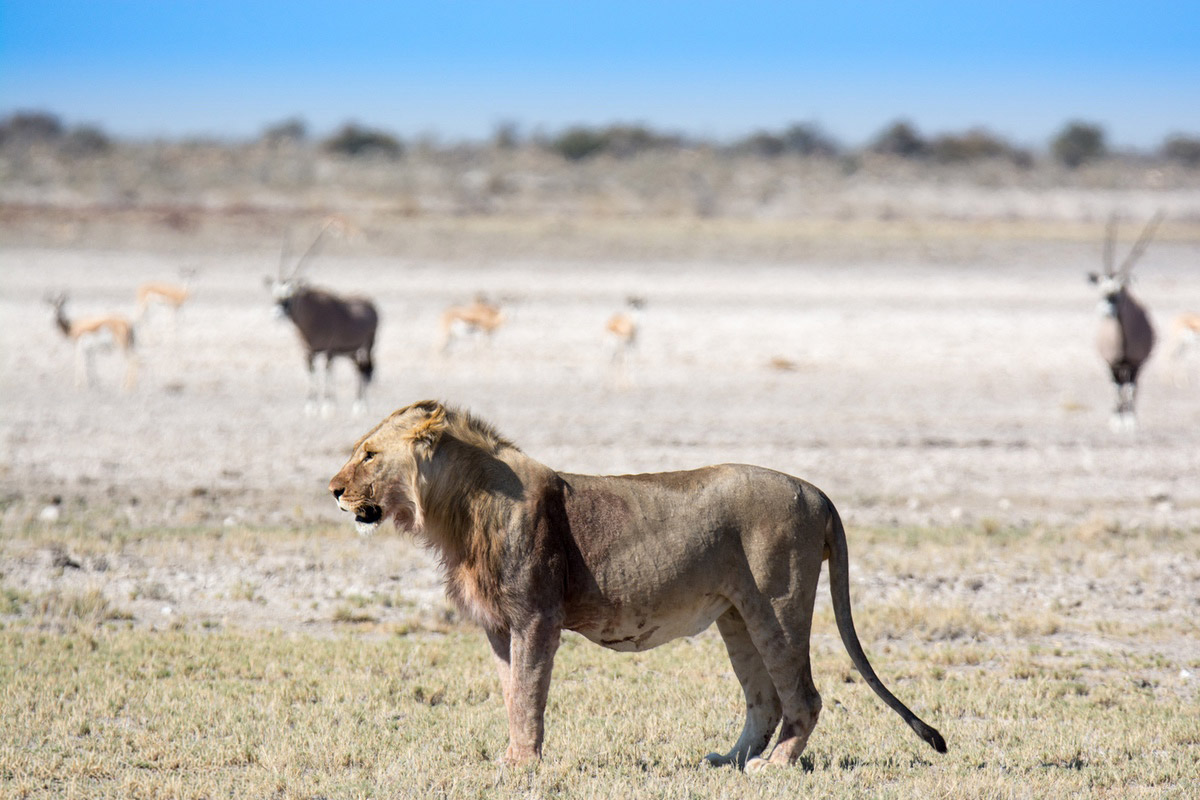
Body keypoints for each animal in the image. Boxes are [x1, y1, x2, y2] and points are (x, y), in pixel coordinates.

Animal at [328, 400, 947, 771]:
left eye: (368, 454)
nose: (333, 490)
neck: (457, 511)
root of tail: (818, 493)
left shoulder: (536, 618)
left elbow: (529, 695)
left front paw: (525, 765)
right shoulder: (499, 627)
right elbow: (510, 694)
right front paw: (510, 759)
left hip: (779, 604)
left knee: (804, 697)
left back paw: (772, 768)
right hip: (737, 615)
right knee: (765, 700)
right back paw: (726, 761)